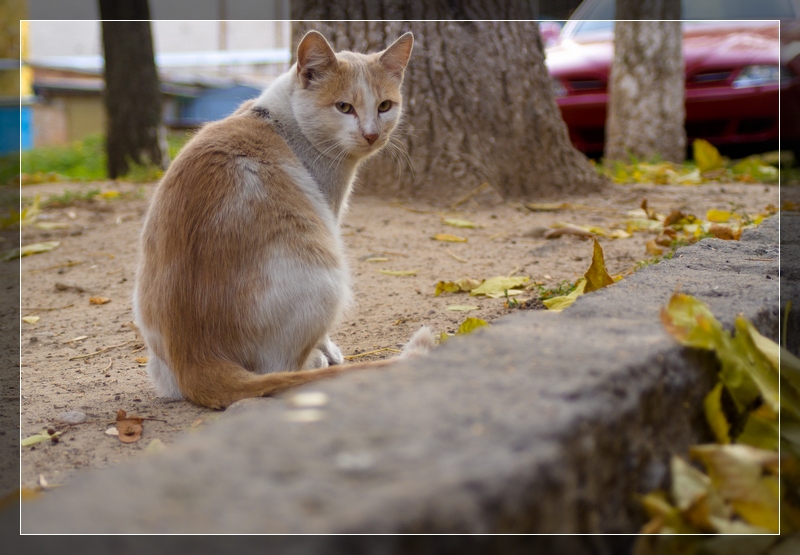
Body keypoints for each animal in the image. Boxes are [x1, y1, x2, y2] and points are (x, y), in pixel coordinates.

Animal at [133, 31, 432, 412]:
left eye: (384, 106)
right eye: (344, 107)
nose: (371, 134)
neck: (275, 117)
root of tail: (195, 358)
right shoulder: (329, 213)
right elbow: (321, 340)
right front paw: (328, 350)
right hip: (326, 273)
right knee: (281, 369)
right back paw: (315, 361)